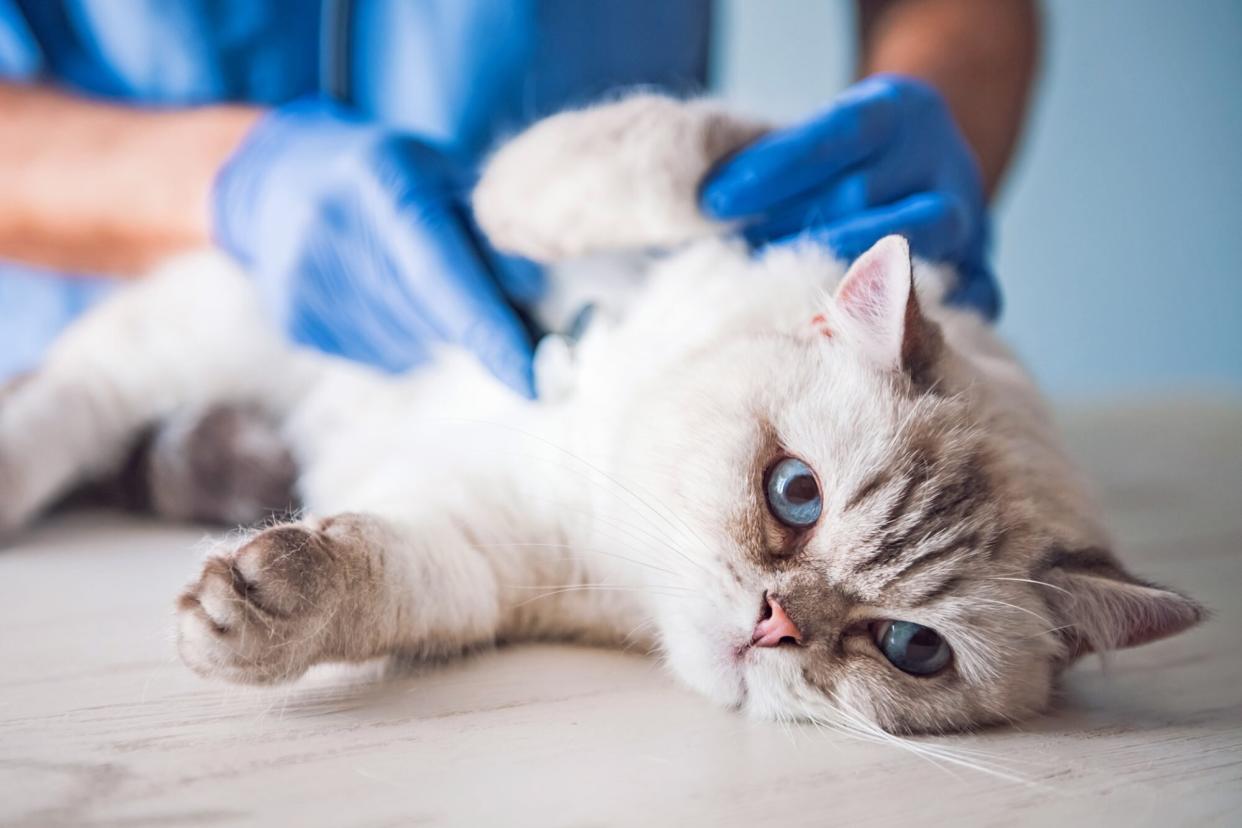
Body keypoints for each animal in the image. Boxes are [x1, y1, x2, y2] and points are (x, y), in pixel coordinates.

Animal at [0, 93, 1202, 734]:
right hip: (210, 326)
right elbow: (674, 165)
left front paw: (258, 608)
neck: (614, 456)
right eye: (796, 494)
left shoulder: (481, 554)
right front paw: (488, 215)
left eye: (910, 648)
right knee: (68, 402)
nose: (775, 623)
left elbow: (362, 575)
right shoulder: (685, 190)